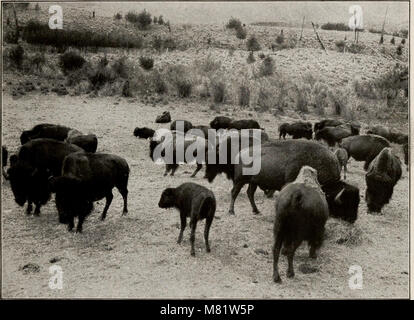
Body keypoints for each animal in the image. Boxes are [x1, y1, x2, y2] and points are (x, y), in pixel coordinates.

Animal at [205, 139, 360, 224]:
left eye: (356, 202)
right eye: (344, 204)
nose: (353, 219)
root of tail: (239, 154)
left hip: (253, 182)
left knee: (250, 193)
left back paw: (256, 211)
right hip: (240, 180)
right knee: (234, 192)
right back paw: (231, 211)